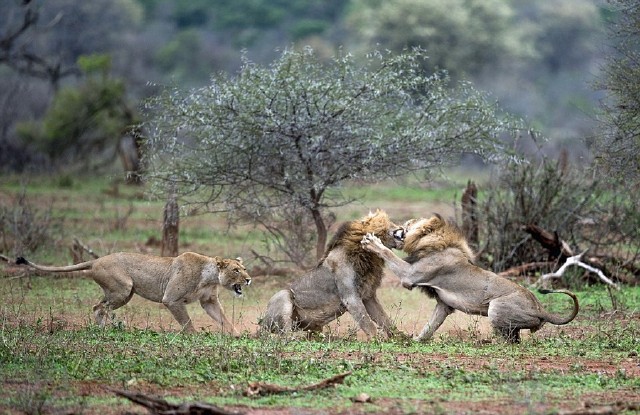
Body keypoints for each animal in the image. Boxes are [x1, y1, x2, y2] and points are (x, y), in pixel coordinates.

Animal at [13, 252, 251, 336]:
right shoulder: (171, 299)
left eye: (244, 268)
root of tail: (97, 259)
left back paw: (101, 330)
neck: (210, 275)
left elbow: (224, 319)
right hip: (124, 288)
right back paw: (108, 329)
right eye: (236, 270)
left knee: (97, 307)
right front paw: (193, 337)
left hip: (123, 293)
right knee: (101, 308)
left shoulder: (209, 301)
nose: (249, 279)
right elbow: (187, 322)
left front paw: (236, 335)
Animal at [260, 210, 404, 340]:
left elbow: (385, 320)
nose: (401, 229)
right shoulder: (351, 297)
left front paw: (402, 339)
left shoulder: (368, 296)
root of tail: (262, 324)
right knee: (283, 336)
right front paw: (376, 342)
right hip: (283, 296)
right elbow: (368, 324)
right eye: (389, 223)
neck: (368, 256)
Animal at [360, 214, 580, 344]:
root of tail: (541, 309)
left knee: (507, 342)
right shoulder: (444, 305)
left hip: (495, 308)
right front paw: (414, 342)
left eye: (407, 224)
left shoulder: (410, 275)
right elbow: (430, 326)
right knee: (514, 339)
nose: (397, 228)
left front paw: (373, 242)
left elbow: (389, 254)